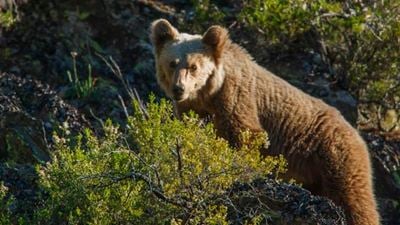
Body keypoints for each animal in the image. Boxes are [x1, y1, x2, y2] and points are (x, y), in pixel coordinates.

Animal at [149, 18, 378, 225]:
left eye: (193, 66)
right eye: (172, 63)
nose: (179, 89)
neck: (208, 95)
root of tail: (356, 133)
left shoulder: (236, 99)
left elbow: (245, 136)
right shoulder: (193, 109)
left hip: (333, 155)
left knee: (353, 198)